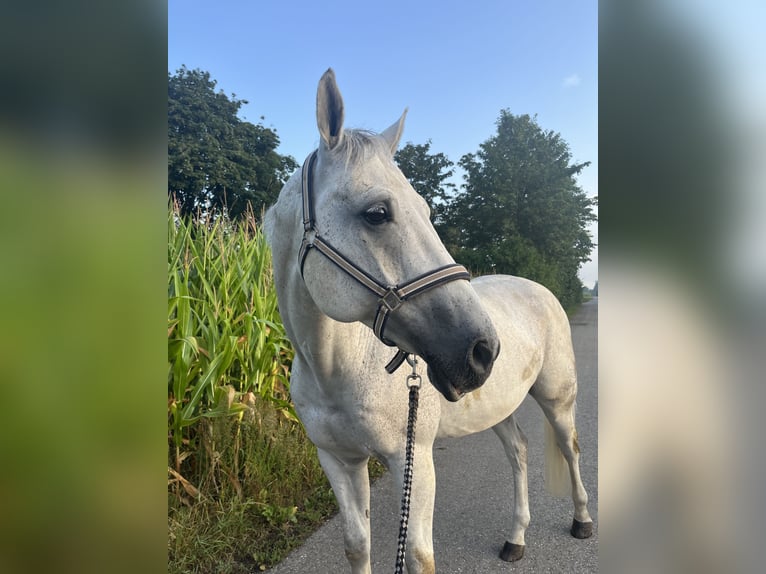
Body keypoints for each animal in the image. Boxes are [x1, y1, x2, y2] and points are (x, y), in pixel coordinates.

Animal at [268, 70, 596, 572]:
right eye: (377, 213)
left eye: (427, 211)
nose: (483, 350)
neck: (336, 370)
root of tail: (536, 287)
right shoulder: (339, 461)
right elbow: (357, 545)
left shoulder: (414, 461)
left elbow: (419, 557)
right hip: (498, 404)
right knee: (519, 453)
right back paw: (515, 539)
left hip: (558, 397)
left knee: (569, 447)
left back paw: (582, 521)